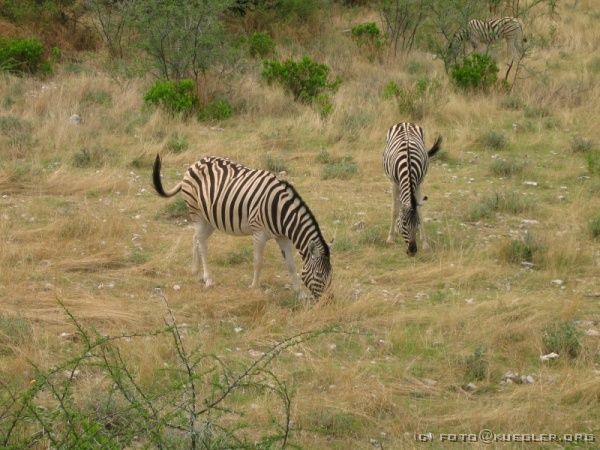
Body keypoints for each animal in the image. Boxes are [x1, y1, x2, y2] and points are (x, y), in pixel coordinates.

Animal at [152, 155, 332, 298]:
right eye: (318, 274)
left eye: (331, 273)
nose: (327, 300)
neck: (281, 212)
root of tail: (194, 163)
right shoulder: (259, 232)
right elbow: (258, 261)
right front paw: (254, 287)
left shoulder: (283, 236)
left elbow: (291, 263)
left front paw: (298, 292)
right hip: (197, 213)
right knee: (202, 243)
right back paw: (208, 278)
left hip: (210, 219)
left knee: (196, 237)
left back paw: (196, 272)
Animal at [384, 123, 440, 256]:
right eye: (404, 224)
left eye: (417, 222)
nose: (412, 251)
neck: (408, 165)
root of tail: (405, 123)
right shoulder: (394, 183)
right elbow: (394, 210)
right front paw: (390, 238)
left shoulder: (419, 183)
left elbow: (420, 210)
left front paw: (425, 243)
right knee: (397, 205)